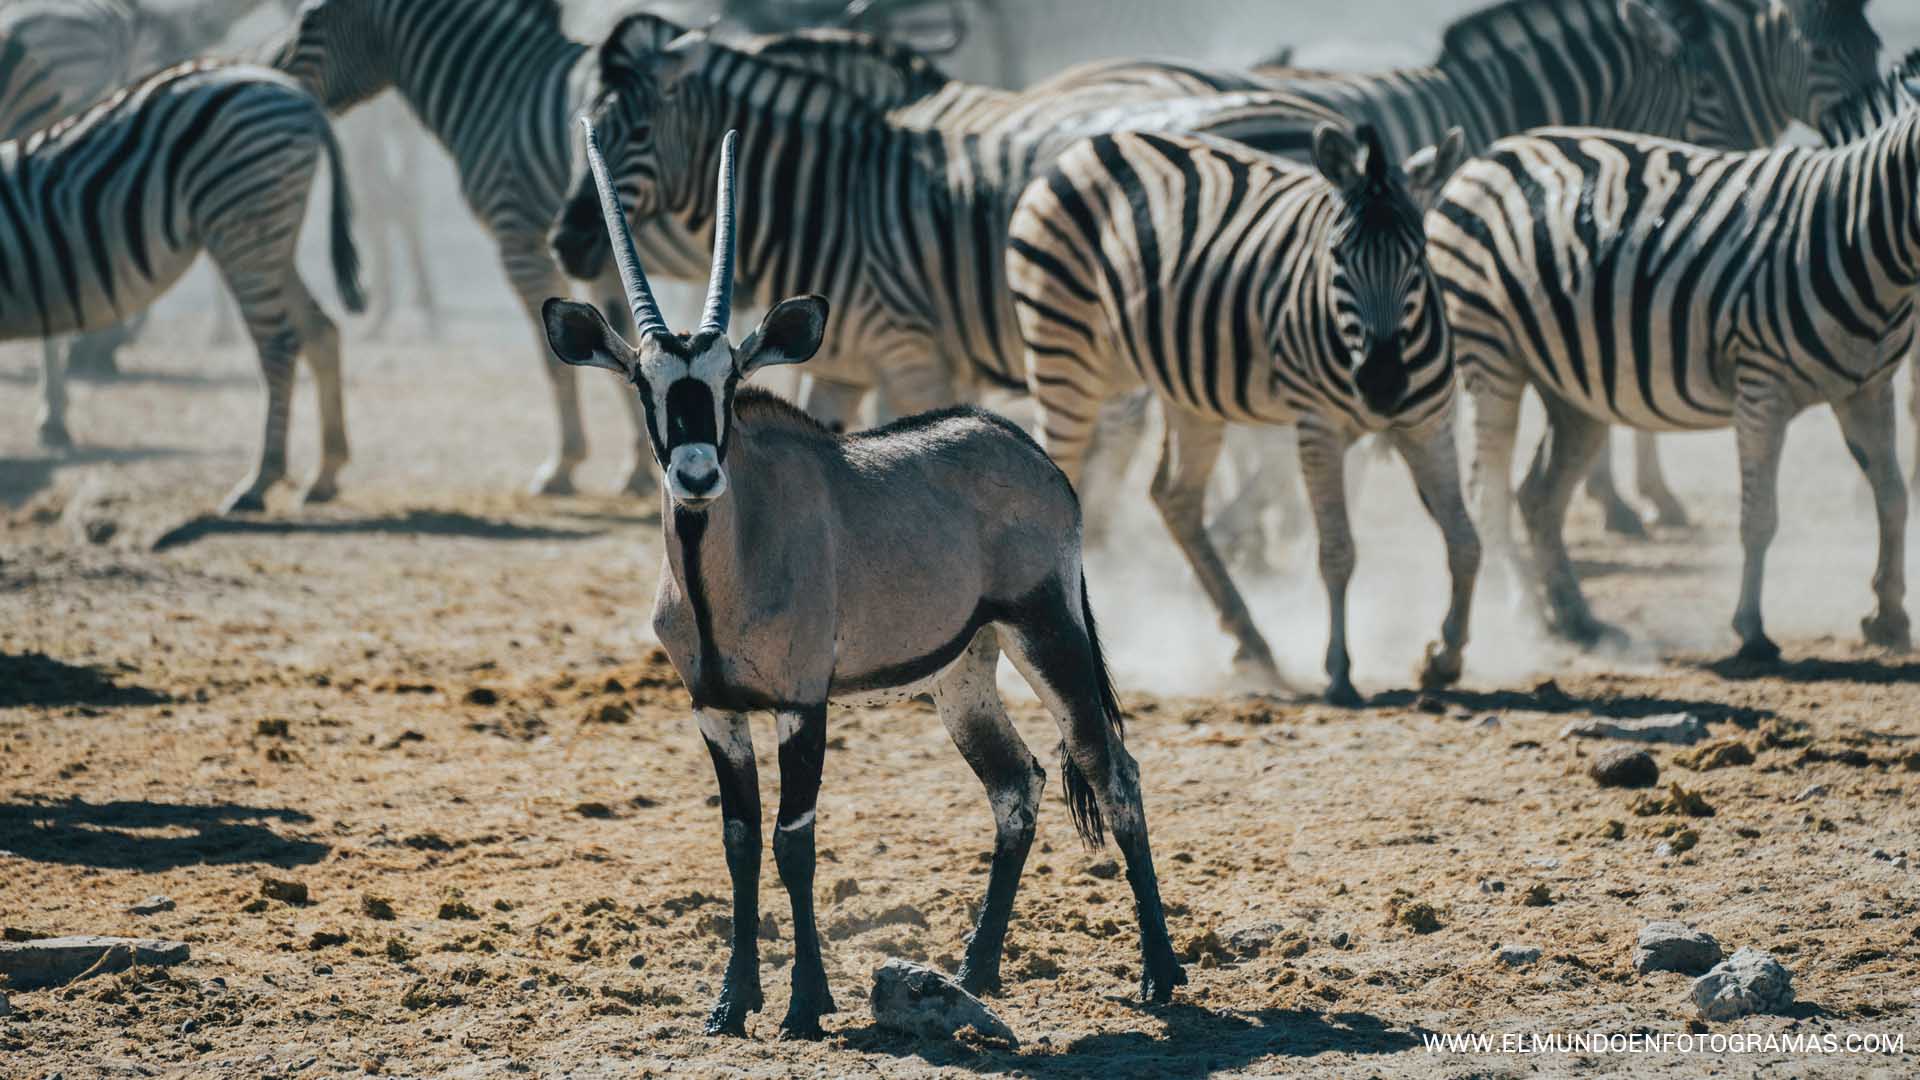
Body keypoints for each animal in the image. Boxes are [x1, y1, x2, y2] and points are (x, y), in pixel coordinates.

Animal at [5, 61, 364, 511]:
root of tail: (298, 93)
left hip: (242, 220)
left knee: (279, 345)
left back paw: (258, 482)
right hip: (272, 235)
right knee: (320, 330)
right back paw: (325, 475)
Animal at [1006, 125, 1466, 703]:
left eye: (1419, 255)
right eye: (1337, 256)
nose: (1382, 385)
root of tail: (1091, 145)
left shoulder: (1431, 422)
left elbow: (1464, 539)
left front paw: (1445, 658)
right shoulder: (1318, 426)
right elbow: (1338, 551)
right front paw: (1339, 670)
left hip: (1183, 390)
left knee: (1175, 496)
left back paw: (1252, 640)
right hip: (1064, 354)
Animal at [1428, 67, 1920, 661]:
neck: (1856, 233)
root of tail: (1486, 155)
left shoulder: (1866, 387)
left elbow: (1893, 498)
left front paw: (1889, 616)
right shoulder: (1761, 385)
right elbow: (1760, 517)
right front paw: (1751, 630)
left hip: (1571, 387)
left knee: (1537, 496)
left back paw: (1575, 618)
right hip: (1491, 351)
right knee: (1490, 491)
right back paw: (1517, 615)